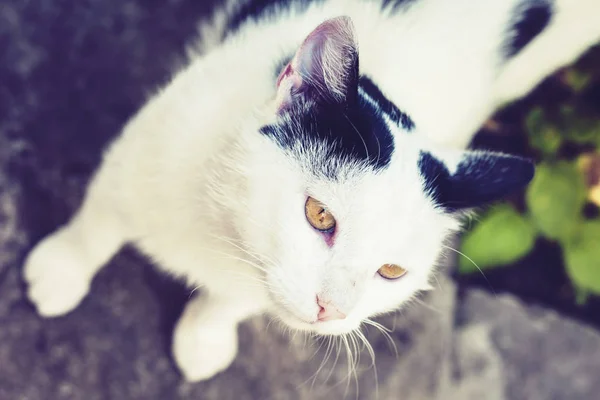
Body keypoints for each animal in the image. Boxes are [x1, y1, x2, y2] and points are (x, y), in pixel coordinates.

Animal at [22, 0, 600, 382]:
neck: (226, 230)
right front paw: (61, 271)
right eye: (319, 214)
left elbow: (236, 300)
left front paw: (206, 334)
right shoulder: (141, 150)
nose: (332, 310)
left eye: (392, 271)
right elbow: (99, 224)